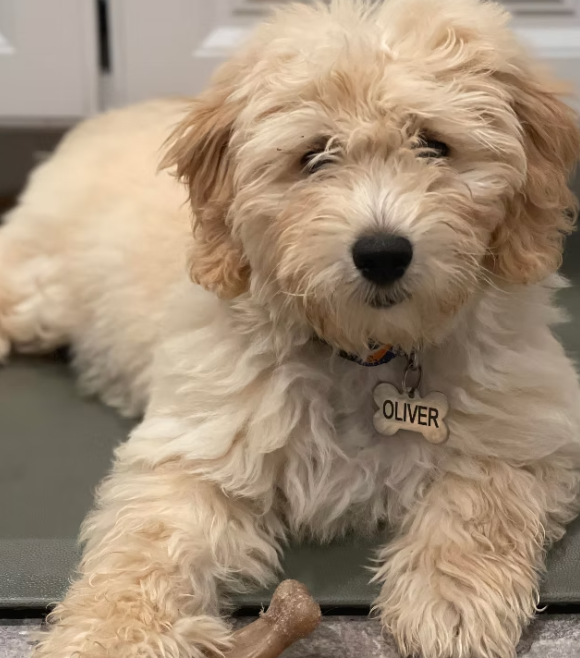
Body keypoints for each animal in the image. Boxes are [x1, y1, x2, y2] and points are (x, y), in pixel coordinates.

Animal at [1, 0, 580, 656]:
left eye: (433, 144)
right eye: (314, 155)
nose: (383, 252)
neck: (364, 351)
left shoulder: (527, 425)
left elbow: (484, 498)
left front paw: (451, 602)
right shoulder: (198, 449)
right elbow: (148, 545)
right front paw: (114, 637)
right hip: (39, 285)